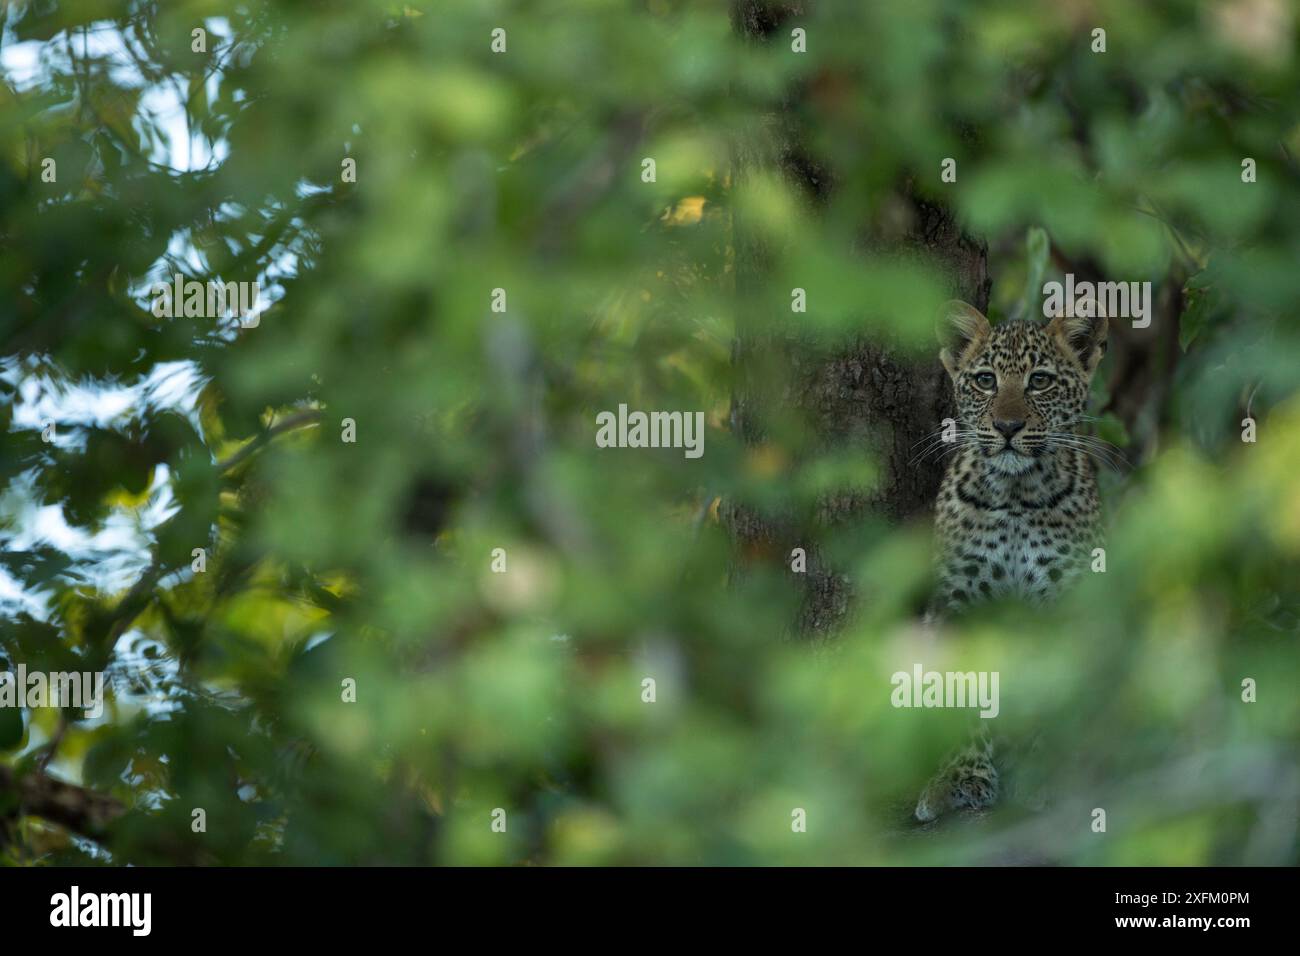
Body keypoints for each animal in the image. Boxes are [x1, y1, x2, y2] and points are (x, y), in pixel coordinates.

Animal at [913, 297, 1109, 823]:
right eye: (985, 380)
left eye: (1039, 381)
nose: (1007, 427)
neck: (1017, 494)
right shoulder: (958, 601)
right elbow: (963, 693)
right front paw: (960, 778)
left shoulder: (1066, 598)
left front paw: (1045, 774)